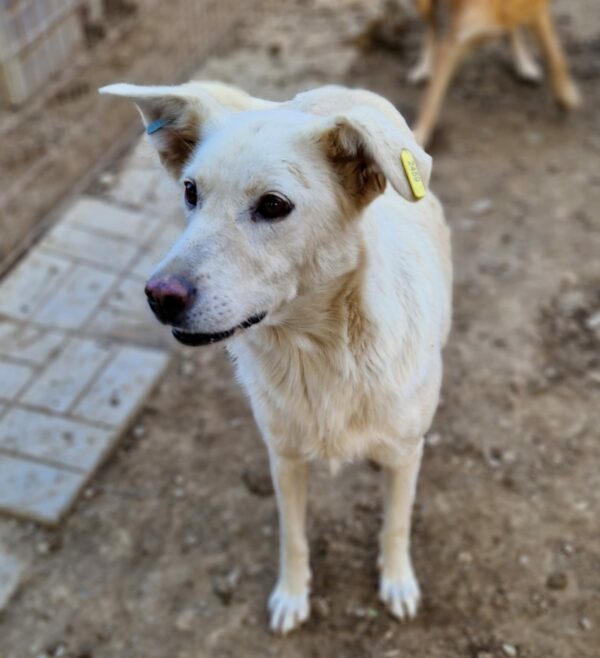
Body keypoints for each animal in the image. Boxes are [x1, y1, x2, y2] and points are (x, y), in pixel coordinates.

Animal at [101, 79, 452, 632]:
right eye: (190, 192)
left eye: (272, 205)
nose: (159, 296)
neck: (320, 351)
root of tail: (338, 91)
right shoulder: (283, 458)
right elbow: (293, 535)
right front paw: (292, 594)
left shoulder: (405, 455)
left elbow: (395, 525)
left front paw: (396, 581)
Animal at [412, 0, 580, 145]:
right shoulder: (453, 45)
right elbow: (431, 100)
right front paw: (420, 135)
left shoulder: (538, 14)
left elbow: (557, 57)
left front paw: (565, 96)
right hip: (424, 5)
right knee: (431, 28)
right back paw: (424, 67)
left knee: (512, 29)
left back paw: (524, 63)